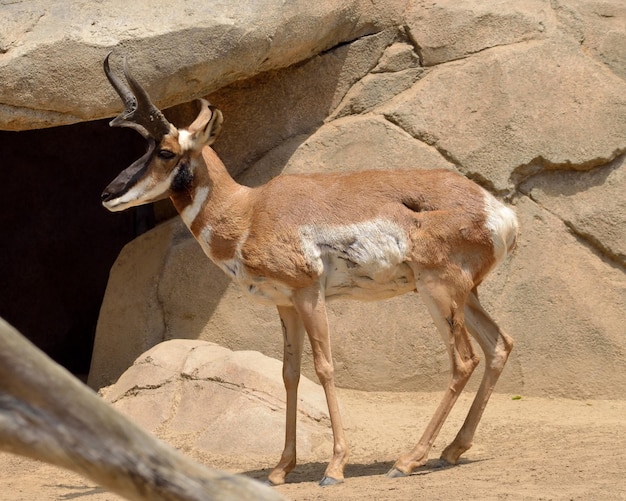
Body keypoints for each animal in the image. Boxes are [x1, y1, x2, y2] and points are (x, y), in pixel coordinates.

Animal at [101, 51, 516, 484]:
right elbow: (289, 373)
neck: (249, 210)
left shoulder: (308, 294)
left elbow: (325, 367)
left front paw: (334, 467)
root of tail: (496, 208)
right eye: (145, 147)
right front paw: (281, 468)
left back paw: (407, 460)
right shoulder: (285, 304)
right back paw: (451, 450)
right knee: (499, 344)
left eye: (165, 151)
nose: (107, 194)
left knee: (463, 360)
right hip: (464, 295)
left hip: (439, 291)